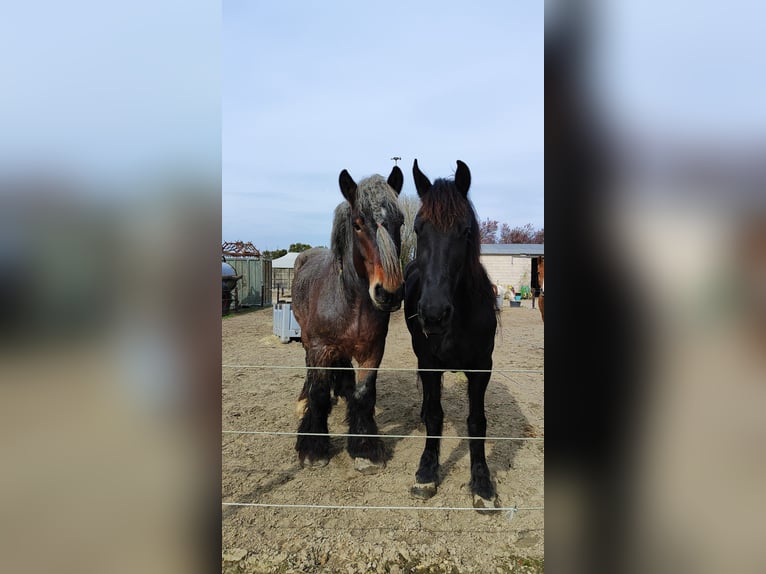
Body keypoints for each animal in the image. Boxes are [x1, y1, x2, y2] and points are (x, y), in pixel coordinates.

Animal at [292, 164, 404, 474]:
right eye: (357, 223)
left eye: (400, 222)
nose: (389, 292)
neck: (351, 303)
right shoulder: (320, 348)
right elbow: (318, 394)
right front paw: (313, 448)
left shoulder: (373, 350)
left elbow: (364, 394)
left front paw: (365, 449)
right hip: (307, 340)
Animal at [404, 158, 500, 512]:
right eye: (418, 228)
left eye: (465, 230)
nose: (434, 313)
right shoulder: (430, 363)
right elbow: (435, 415)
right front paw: (427, 472)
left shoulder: (481, 368)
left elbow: (477, 421)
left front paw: (482, 482)